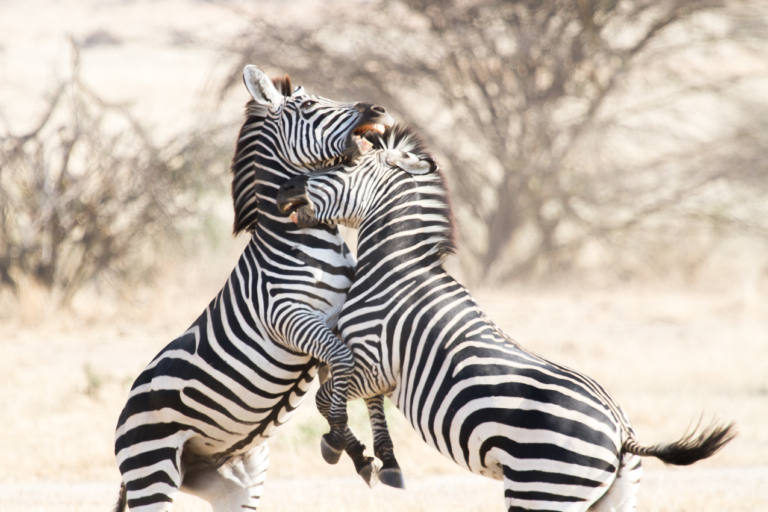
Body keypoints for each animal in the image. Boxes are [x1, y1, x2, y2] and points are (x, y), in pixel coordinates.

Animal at [112, 67, 396, 512]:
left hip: (238, 478)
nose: (379, 110)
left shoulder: (338, 319)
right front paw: (340, 439)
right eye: (310, 105)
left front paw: (355, 449)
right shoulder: (286, 318)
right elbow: (342, 361)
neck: (303, 239)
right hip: (152, 469)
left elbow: (344, 374)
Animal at [278, 123, 736, 512]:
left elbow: (326, 398)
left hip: (543, 489)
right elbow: (353, 402)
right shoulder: (372, 371)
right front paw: (379, 461)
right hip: (612, 499)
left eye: (344, 166)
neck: (397, 269)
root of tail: (623, 434)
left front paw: (337, 446)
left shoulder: (373, 363)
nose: (284, 188)